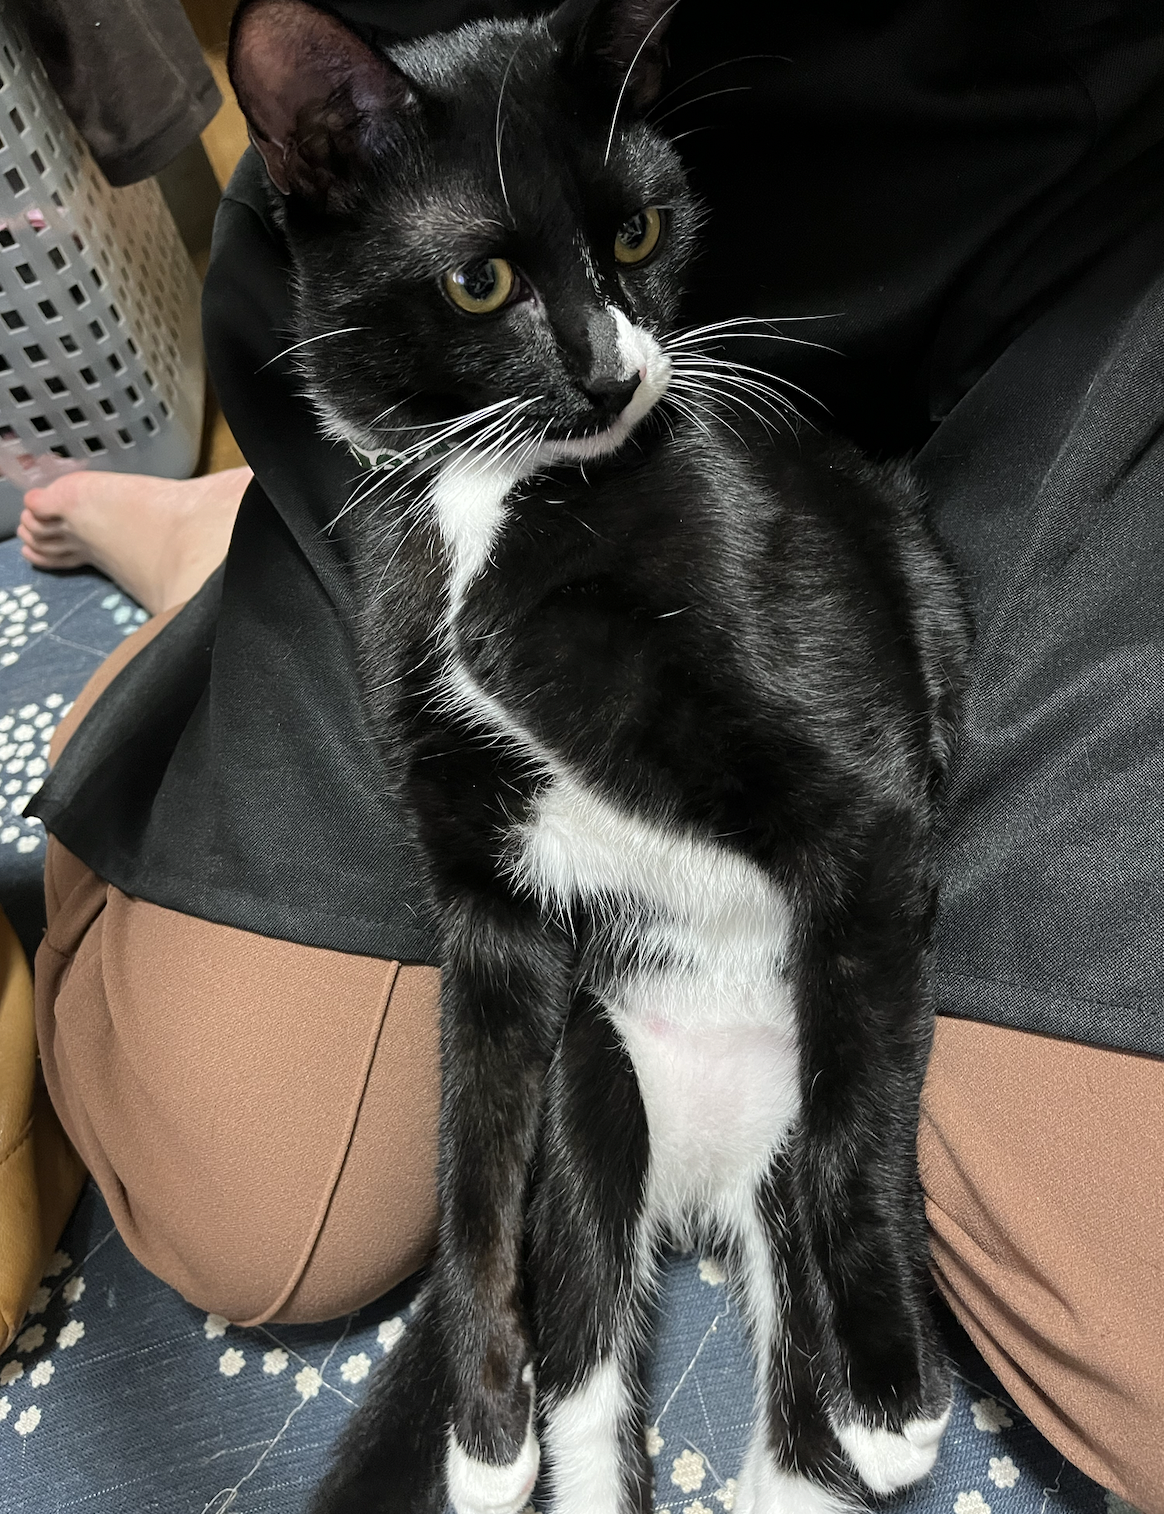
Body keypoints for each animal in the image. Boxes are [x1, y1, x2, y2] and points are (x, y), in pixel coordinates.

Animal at [228, 1, 969, 1510]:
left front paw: (889, 1385)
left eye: (638, 233)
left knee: (803, 1421)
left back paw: (852, 1401)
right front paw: (479, 1423)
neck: (496, 500)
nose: (618, 371)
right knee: (585, 1356)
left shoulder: (863, 782)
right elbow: (470, 1153)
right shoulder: (488, 904)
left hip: (772, 1169)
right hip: (596, 1100)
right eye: (479, 280)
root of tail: (700, 1182)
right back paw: (543, 1421)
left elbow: (860, 1106)